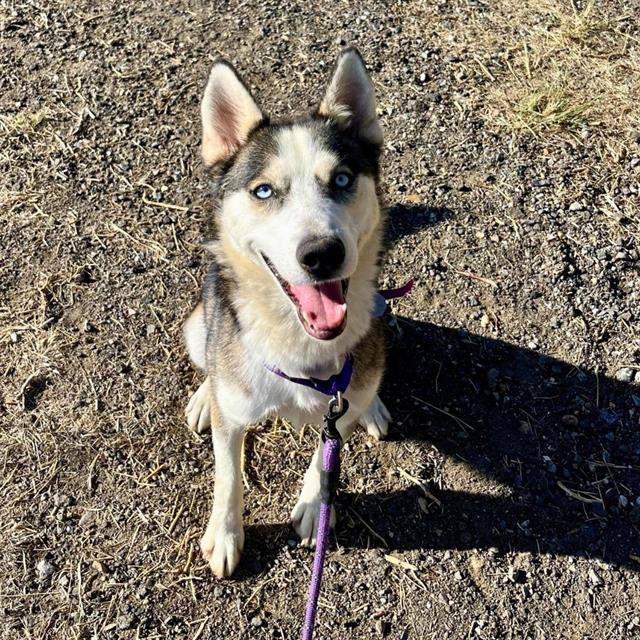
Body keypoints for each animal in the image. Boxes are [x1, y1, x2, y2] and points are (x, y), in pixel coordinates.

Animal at [182, 48, 392, 580]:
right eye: (263, 192)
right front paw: (225, 533)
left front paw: (316, 505)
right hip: (198, 324)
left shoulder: (339, 408)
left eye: (342, 180)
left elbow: (325, 455)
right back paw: (204, 397)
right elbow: (228, 472)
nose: (321, 254)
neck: (299, 343)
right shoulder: (235, 417)